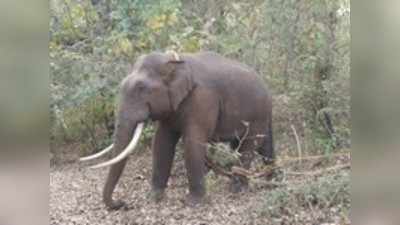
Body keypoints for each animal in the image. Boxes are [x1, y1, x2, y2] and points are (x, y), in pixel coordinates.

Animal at [81, 51, 276, 209]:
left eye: (141, 88)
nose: (122, 203)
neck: (174, 60)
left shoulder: (202, 99)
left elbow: (192, 142)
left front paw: (193, 203)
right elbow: (161, 142)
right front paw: (154, 197)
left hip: (257, 115)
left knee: (249, 146)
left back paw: (237, 189)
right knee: (260, 145)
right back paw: (271, 182)